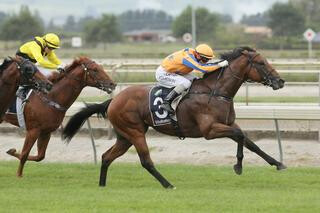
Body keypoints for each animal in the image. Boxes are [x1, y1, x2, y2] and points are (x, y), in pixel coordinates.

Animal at [62, 47, 284, 189]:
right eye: (262, 63)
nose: (280, 81)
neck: (216, 91)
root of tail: (114, 100)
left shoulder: (228, 123)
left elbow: (250, 142)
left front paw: (277, 163)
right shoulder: (210, 130)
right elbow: (239, 135)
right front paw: (238, 166)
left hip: (125, 136)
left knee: (106, 157)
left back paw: (102, 185)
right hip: (134, 132)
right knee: (146, 161)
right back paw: (168, 184)